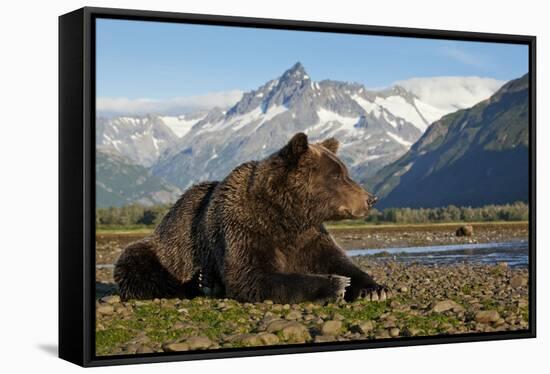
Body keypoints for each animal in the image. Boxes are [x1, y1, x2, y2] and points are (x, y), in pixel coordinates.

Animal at [115, 132, 392, 304]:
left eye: (345, 171)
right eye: (336, 175)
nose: (371, 199)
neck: (288, 215)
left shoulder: (309, 236)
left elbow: (339, 260)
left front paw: (375, 289)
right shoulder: (244, 228)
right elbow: (251, 275)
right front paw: (336, 285)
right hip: (166, 249)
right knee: (138, 267)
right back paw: (203, 284)